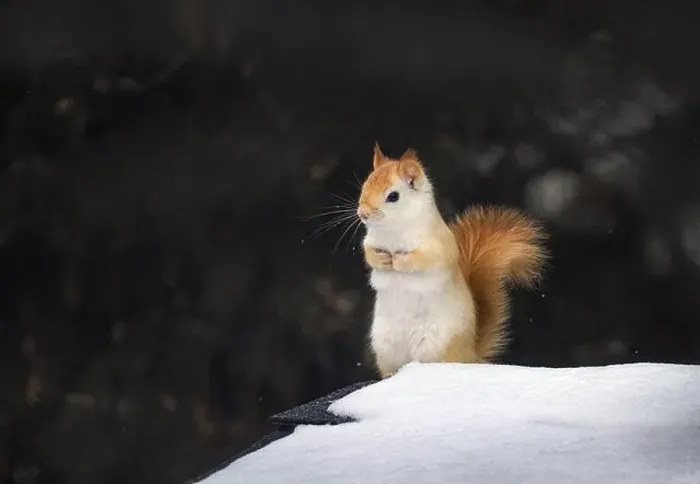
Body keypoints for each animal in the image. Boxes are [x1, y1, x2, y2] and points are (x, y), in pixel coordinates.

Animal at [357, 144, 548, 379]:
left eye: (393, 196)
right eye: (365, 185)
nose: (362, 214)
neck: (393, 232)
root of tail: (470, 354)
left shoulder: (439, 246)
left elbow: (424, 260)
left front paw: (399, 262)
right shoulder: (370, 241)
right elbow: (368, 252)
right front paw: (382, 259)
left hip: (437, 345)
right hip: (386, 348)